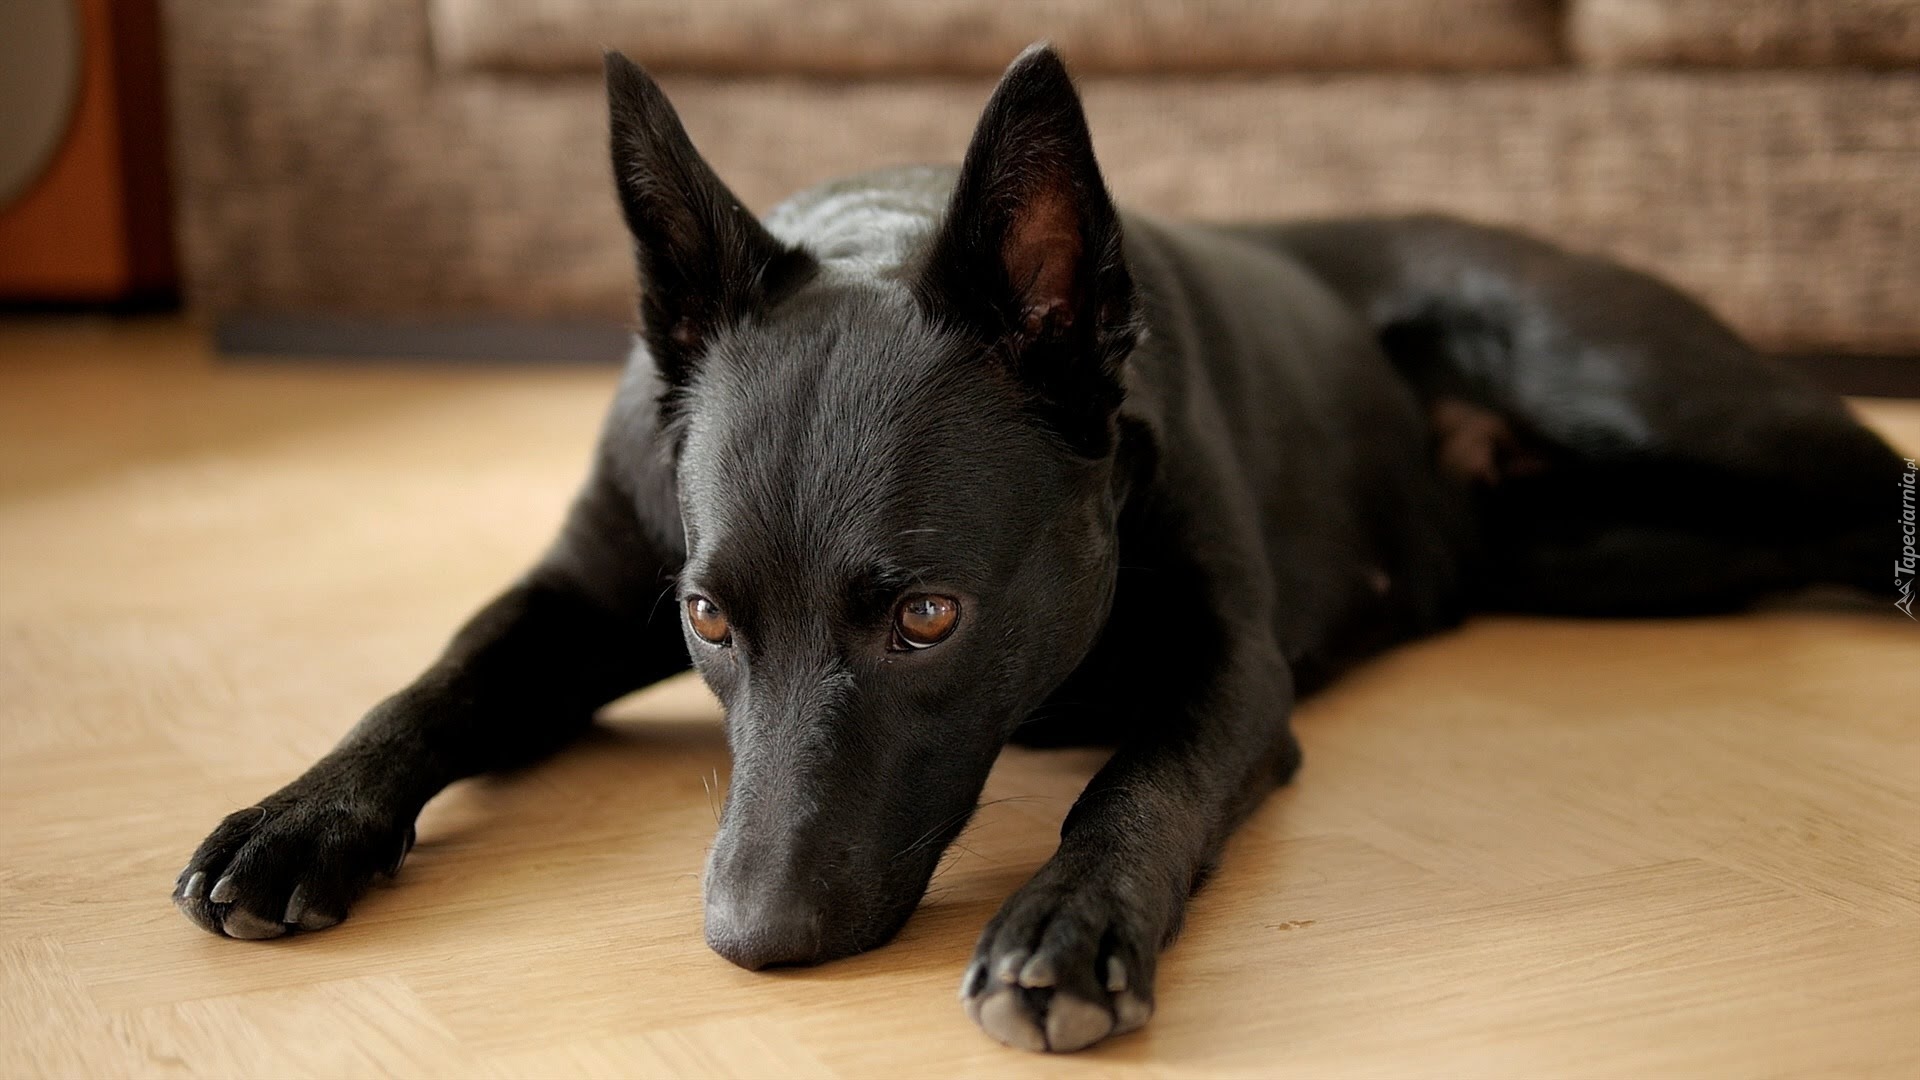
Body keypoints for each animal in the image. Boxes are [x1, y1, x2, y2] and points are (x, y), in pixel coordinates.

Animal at [176, 46, 1904, 1045]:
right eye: (709, 623)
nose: (750, 942)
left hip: (1625, 379)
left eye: (930, 620)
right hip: (1615, 553)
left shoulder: (1228, 674)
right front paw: (300, 818)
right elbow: (441, 679)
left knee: (1872, 471)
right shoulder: (586, 585)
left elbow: (1138, 787)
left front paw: (1069, 927)